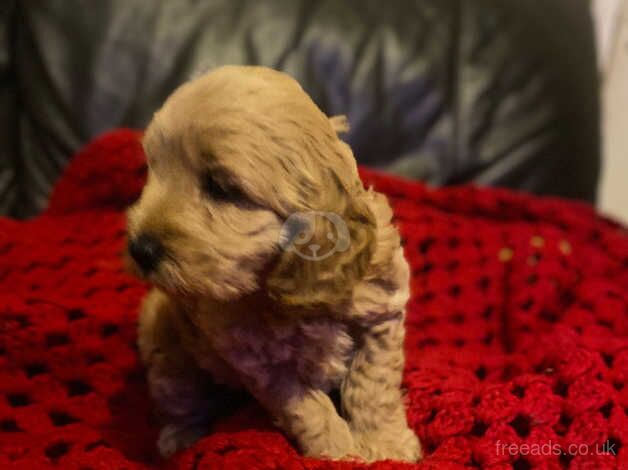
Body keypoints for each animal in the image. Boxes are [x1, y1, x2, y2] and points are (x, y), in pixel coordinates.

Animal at [126, 66, 422, 462]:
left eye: (221, 188)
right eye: (153, 169)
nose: (139, 249)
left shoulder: (380, 315)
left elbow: (373, 388)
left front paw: (385, 445)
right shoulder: (260, 363)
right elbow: (308, 407)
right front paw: (337, 451)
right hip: (167, 348)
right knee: (178, 398)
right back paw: (180, 438)